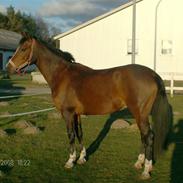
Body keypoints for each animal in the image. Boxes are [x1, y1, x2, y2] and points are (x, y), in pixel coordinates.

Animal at [6, 33, 172, 179]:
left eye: (23, 49)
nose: (8, 68)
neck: (62, 75)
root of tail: (153, 74)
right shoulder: (77, 114)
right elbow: (80, 133)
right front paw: (81, 158)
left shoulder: (67, 113)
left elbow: (71, 135)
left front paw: (70, 161)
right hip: (140, 115)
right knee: (143, 136)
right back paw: (139, 163)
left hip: (139, 113)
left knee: (148, 136)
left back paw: (146, 170)